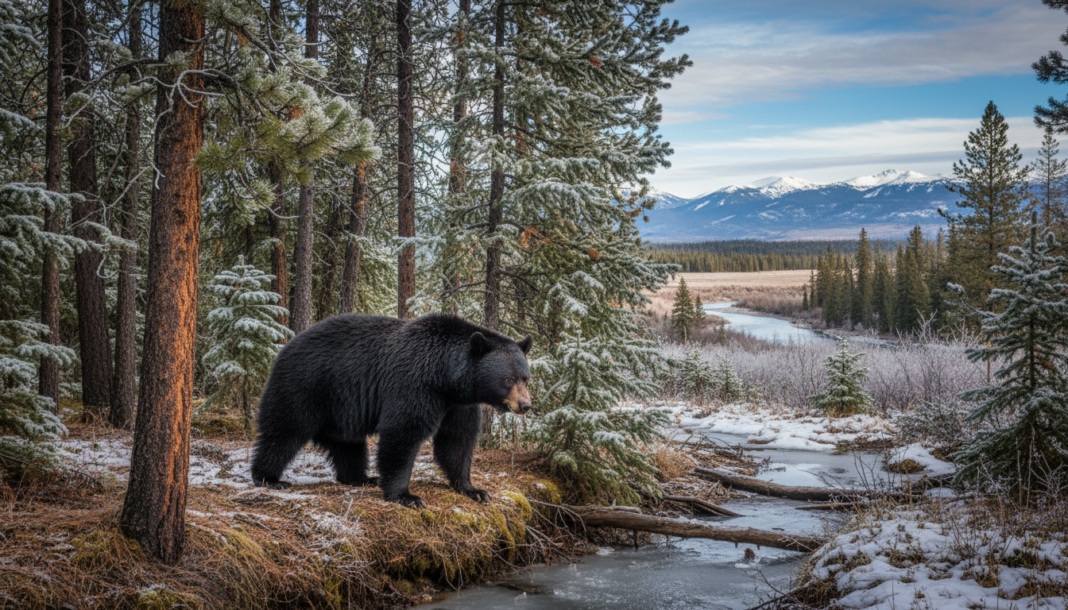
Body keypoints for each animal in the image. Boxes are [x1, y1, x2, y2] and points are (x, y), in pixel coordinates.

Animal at [249, 313, 533, 507]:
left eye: (525, 378)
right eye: (508, 379)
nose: (525, 405)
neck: (447, 378)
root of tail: (287, 344)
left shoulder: (458, 404)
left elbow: (457, 440)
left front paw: (474, 489)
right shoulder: (415, 385)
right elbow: (403, 433)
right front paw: (407, 496)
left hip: (340, 407)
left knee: (348, 444)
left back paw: (362, 477)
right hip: (306, 386)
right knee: (285, 431)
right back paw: (269, 477)